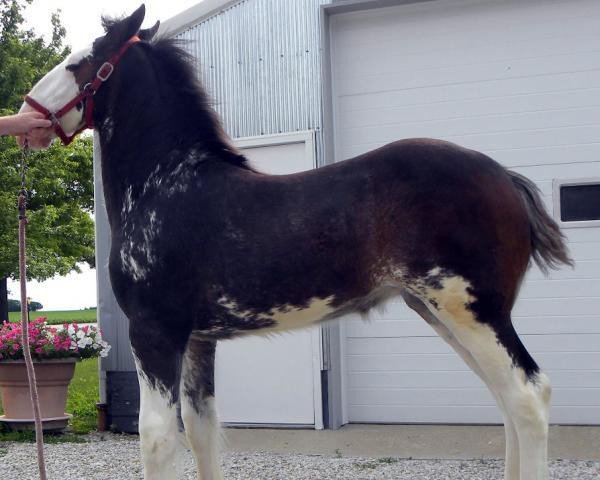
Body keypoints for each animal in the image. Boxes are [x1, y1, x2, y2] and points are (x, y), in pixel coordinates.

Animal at [18, 4, 572, 480]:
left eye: (78, 62)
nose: (26, 112)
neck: (168, 186)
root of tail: (504, 178)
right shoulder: (198, 340)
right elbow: (202, 430)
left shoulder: (155, 332)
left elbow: (156, 436)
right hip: (443, 313)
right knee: (506, 400)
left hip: (472, 311)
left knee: (528, 396)